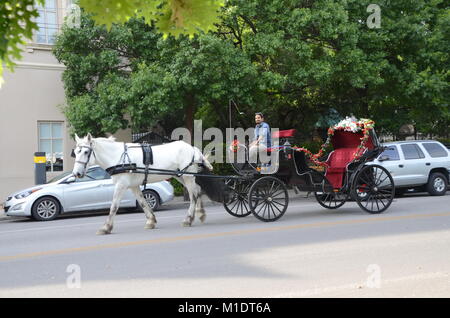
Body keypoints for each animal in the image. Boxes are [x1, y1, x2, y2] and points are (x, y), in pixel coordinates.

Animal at [72, 133, 216, 235]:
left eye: (85, 152)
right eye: (76, 152)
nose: (76, 173)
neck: (118, 157)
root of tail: (192, 148)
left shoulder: (121, 185)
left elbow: (114, 206)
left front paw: (106, 227)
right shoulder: (133, 186)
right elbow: (142, 202)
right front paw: (151, 221)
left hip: (187, 176)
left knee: (193, 195)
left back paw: (188, 219)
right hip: (182, 176)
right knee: (197, 190)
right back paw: (201, 213)